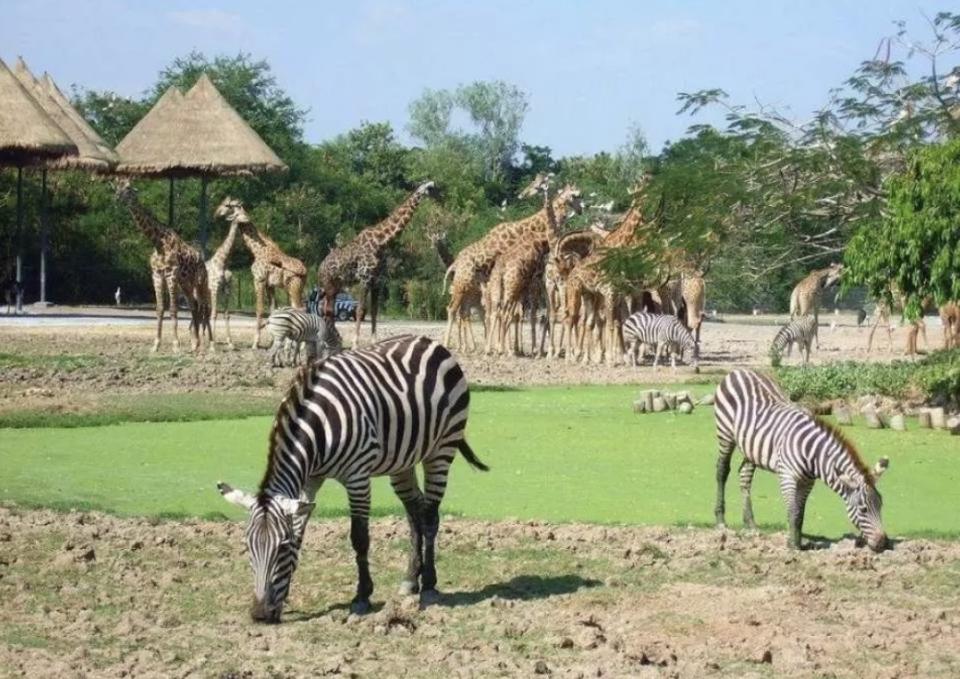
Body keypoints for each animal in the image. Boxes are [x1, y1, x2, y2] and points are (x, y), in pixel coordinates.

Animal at [114, 178, 210, 354]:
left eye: (129, 188)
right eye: (117, 186)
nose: (117, 197)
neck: (158, 243)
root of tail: (201, 260)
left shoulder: (171, 275)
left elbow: (172, 309)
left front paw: (176, 345)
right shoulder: (157, 275)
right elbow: (159, 309)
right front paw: (156, 345)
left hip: (199, 283)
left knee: (201, 307)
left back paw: (201, 343)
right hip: (185, 284)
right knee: (193, 305)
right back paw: (194, 344)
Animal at [215, 195, 306, 346]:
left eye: (228, 205)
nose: (216, 213)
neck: (256, 250)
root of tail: (305, 272)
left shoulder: (259, 279)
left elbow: (259, 309)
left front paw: (255, 342)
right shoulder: (270, 285)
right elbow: (273, 309)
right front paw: (271, 341)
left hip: (294, 287)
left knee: (300, 309)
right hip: (294, 288)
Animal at [218, 334, 488, 620]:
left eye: (281, 546)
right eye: (248, 546)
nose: (260, 614)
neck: (318, 430)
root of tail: (430, 342)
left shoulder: (357, 477)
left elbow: (359, 538)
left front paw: (362, 596)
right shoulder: (310, 480)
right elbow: (300, 532)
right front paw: (285, 595)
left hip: (442, 449)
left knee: (430, 516)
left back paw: (429, 584)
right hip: (402, 461)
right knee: (415, 511)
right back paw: (410, 580)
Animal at [318, 179, 436, 346]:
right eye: (430, 188)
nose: (439, 198)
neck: (381, 242)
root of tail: (320, 267)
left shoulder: (378, 282)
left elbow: (374, 311)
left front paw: (374, 341)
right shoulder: (365, 279)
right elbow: (360, 309)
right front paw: (355, 343)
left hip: (337, 285)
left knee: (329, 309)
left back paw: (335, 338)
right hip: (328, 283)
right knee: (327, 310)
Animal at [712, 366, 892, 552]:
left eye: (881, 505)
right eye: (863, 510)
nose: (883, 543)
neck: (812, 454)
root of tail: (740, 370)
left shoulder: (807, 482)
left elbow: (800, 514)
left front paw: (798, 543)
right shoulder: (787, 476)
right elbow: (792, 512)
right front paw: (792, 546)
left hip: (751, 447)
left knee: (744, 475)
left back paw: (751, 524)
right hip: (725, 433)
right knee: (722, 470)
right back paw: (721, 521)